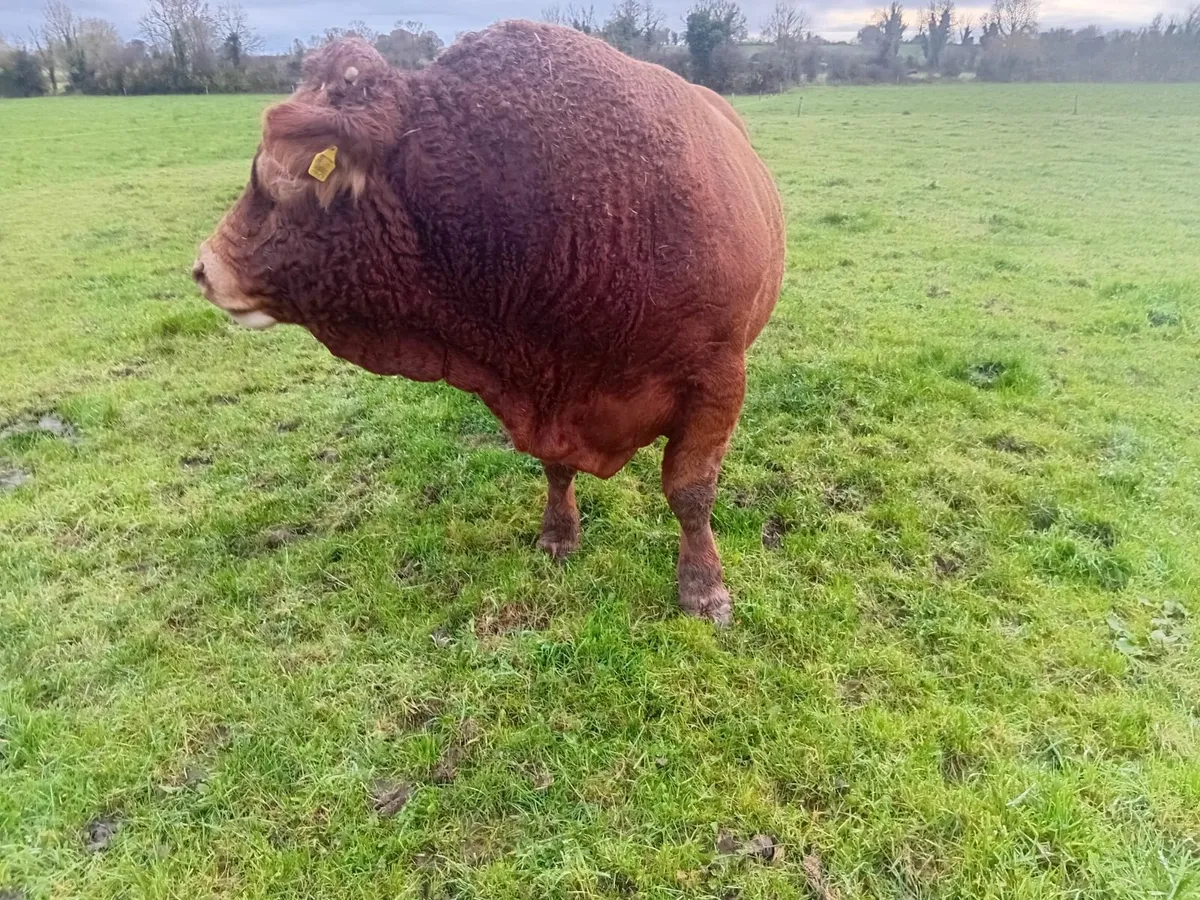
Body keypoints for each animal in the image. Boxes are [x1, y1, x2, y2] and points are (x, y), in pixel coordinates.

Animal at [193, 20, 785, 625]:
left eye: (290, 172)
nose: (204, 267)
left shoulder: (717, 381)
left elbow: (691, 492)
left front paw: (704, 588)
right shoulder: (548, 389)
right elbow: (557, 468)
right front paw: (558, 535)